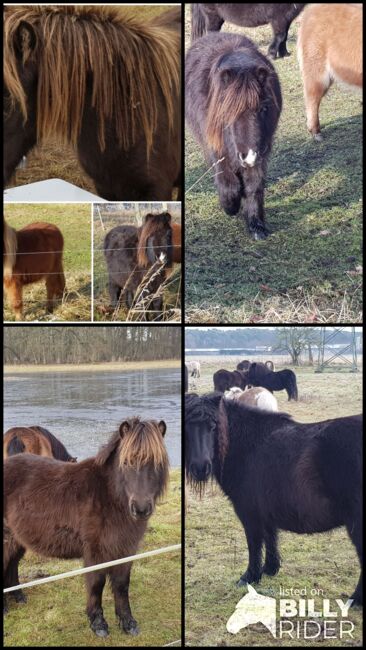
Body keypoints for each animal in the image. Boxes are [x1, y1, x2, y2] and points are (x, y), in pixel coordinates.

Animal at [3, 418, 169, 636]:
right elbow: (96, 584)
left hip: (18, 538)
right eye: (126, 462)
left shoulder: (125, 550)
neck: (109, 497)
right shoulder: (95, 552)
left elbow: (122, 585)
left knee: (12, 564)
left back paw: (19, 597)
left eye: (158, 463)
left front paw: (128, 623)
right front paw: (98, 624)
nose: (140, 509)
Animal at [186, 31, 284, 239]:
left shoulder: (262, 150)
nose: (249, 156)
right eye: (227, 112)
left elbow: (254, 185)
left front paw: (256, 225)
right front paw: (231, 206)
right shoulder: (217, 148)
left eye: (263, 109)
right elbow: (228, 183)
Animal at [186, 392, 364, 604]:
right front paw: (270, 569)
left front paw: (249, 577)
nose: (200, 467)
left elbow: (254, 543)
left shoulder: (249, 513)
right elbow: (271, 538)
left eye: (213, 426)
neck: (248, 445)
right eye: (187, 425)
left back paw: (356, 599)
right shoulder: (266, 510)